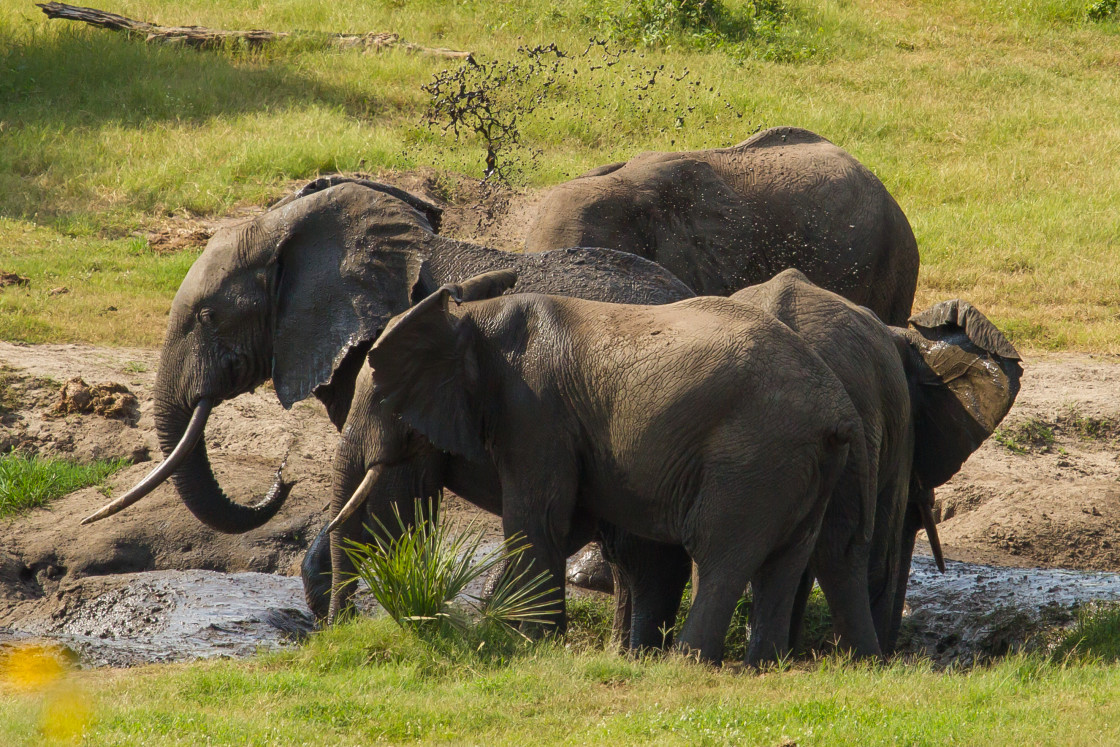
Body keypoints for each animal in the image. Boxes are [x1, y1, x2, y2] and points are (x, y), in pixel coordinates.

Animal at [358, 272, 864, 663]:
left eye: (380, 401)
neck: (476, 317)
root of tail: (837, 411)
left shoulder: (535, 411)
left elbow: (540, 518)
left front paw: (532, 643)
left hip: (752, 458)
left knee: (719, 551)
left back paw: (686, 663)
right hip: (802, 467)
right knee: (785, 561)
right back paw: (764, 665)